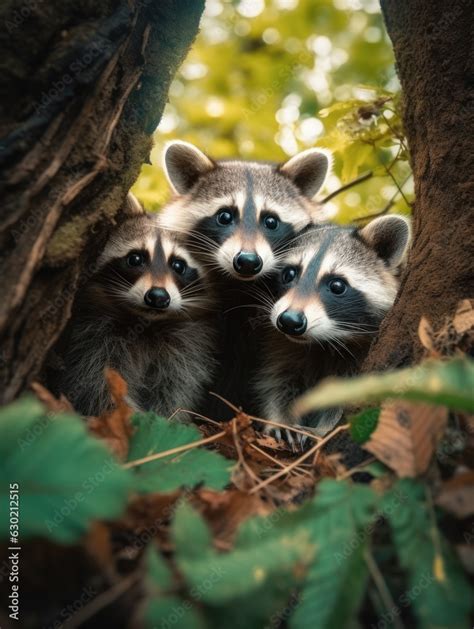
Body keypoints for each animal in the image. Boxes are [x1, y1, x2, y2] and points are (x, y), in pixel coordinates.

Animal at [50, 196, 217, 418]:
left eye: (178, 265)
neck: (146, 324)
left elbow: (175, 386)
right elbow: (96, 381)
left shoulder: (186, 345)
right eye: (135, 258)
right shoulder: (93, 337)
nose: (157, 297)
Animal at [256, 216, 412, 446]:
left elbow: (340, 399)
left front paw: (322, 430)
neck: (325, 341)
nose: (289, 321)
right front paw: (280, 420)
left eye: (337, 286)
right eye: (289, 274)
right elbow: (279, 381)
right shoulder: (283, 344)